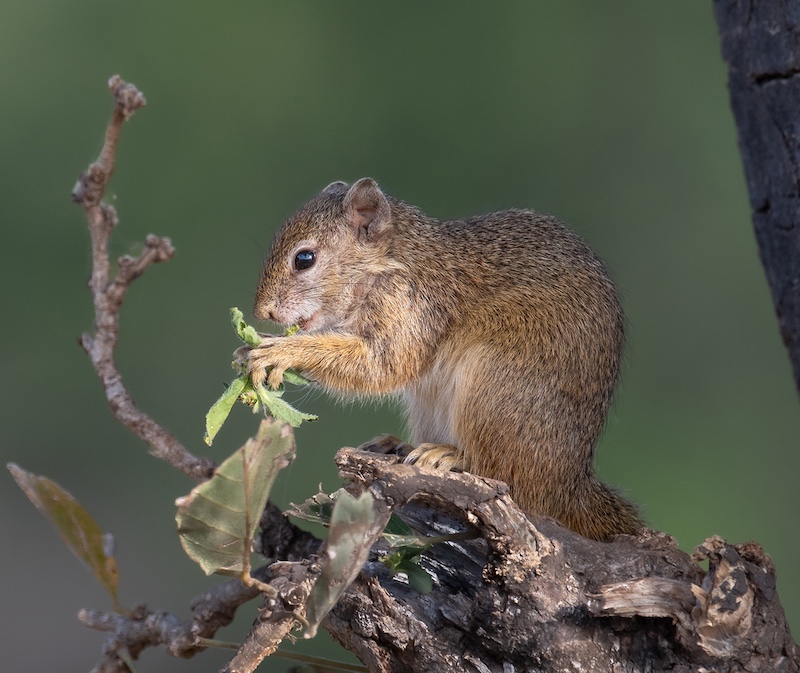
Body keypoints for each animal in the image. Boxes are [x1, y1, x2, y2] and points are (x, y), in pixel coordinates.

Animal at [241, 178, 643, 541]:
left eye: (304, 259)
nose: (264, 312)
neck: (388, 263)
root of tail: (568, 486)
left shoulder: (412, 308)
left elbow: (382, 366)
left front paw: (280, 350)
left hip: (497, 385)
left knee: (506, 476)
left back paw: (450, 456)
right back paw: (398, 445)